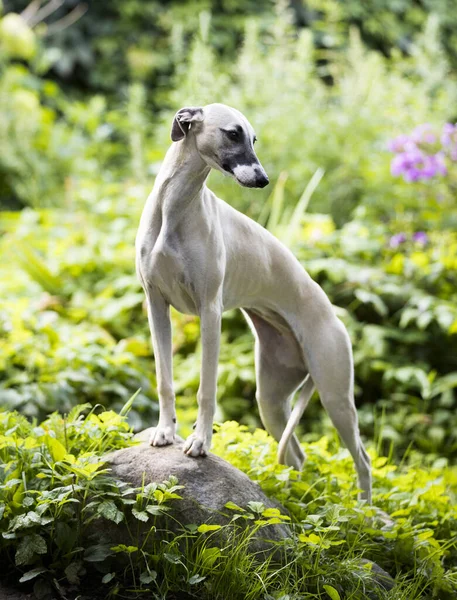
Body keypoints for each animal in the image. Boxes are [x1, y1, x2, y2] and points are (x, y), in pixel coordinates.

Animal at [135, 102, 370, 502]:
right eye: (233, 133)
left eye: (254, 138)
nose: (264, 180)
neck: (175, 208)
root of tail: (336, 320)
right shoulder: (156, 306)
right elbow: (165, 380)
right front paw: (165, 431)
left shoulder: (210, 312)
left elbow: (206, 390)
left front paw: (200, 442)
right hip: (272, 400)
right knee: (297, 455)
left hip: (335, 394)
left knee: (363, 459)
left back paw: (367, 511)